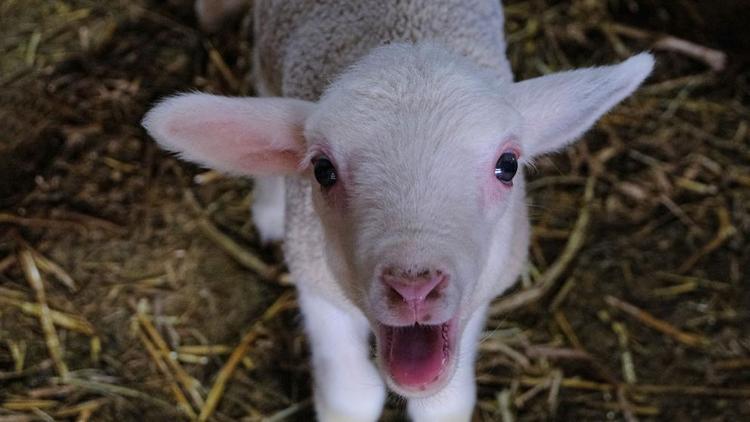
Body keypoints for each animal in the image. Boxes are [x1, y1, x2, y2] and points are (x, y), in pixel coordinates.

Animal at [142, 1, 652, 420]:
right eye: (323, 170)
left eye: (508, 165)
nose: (413, 286)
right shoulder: (315, 279)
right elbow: (352, 397)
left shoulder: (485, 287)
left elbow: (444, 403)